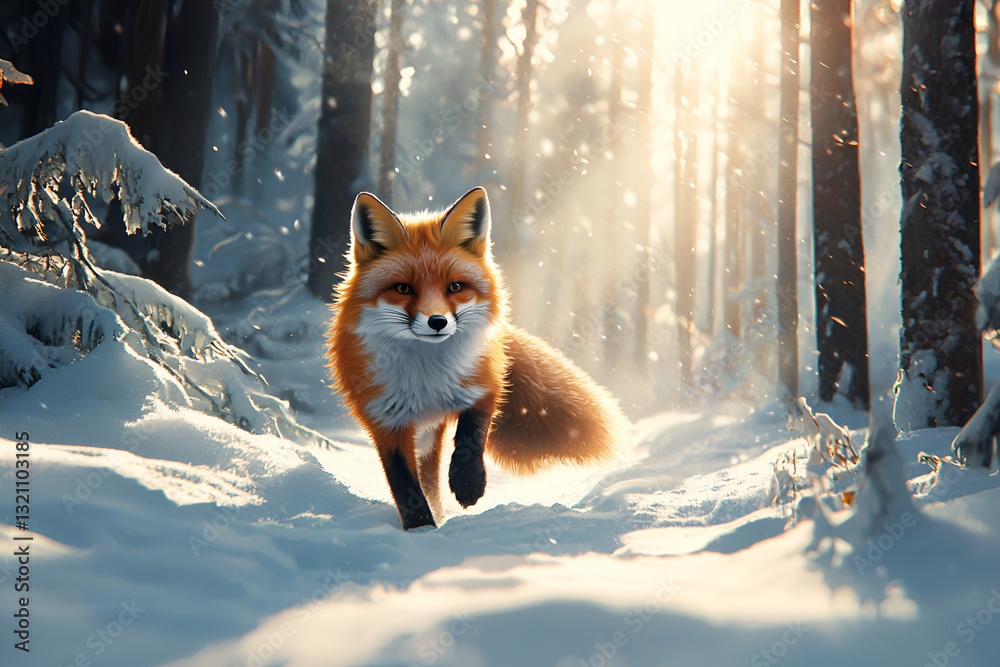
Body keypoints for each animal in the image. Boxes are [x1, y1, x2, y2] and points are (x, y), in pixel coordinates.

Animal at [326, 186, 629, 530]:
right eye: (402, 288)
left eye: (455, 287)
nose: (437, 322)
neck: (426, 374)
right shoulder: (384, 420)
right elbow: (405, 486)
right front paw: (421, 528)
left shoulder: (484, 383)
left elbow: (472, 435)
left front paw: (468, 484)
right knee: (426, 479)